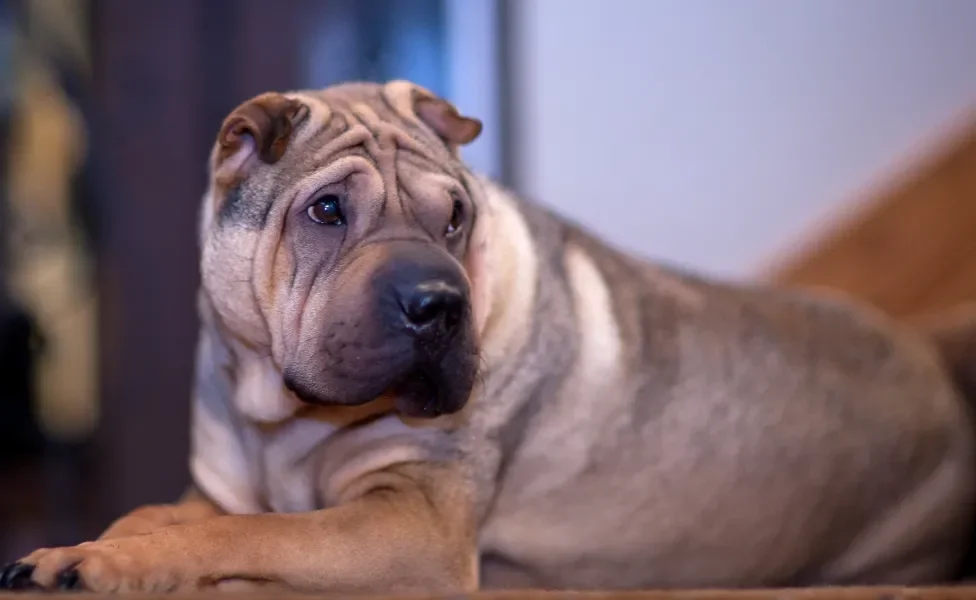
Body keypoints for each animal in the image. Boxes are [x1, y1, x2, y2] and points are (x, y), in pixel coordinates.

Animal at [1, 81, 976, 596]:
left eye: (456, 217)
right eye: (327, 211)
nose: (437, 303)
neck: (280, 418)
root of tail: (935, 360)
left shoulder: (412, 525)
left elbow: (246, 543)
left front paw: (115, 565)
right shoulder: (218, 490)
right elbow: (161, 514)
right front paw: (87, 547)